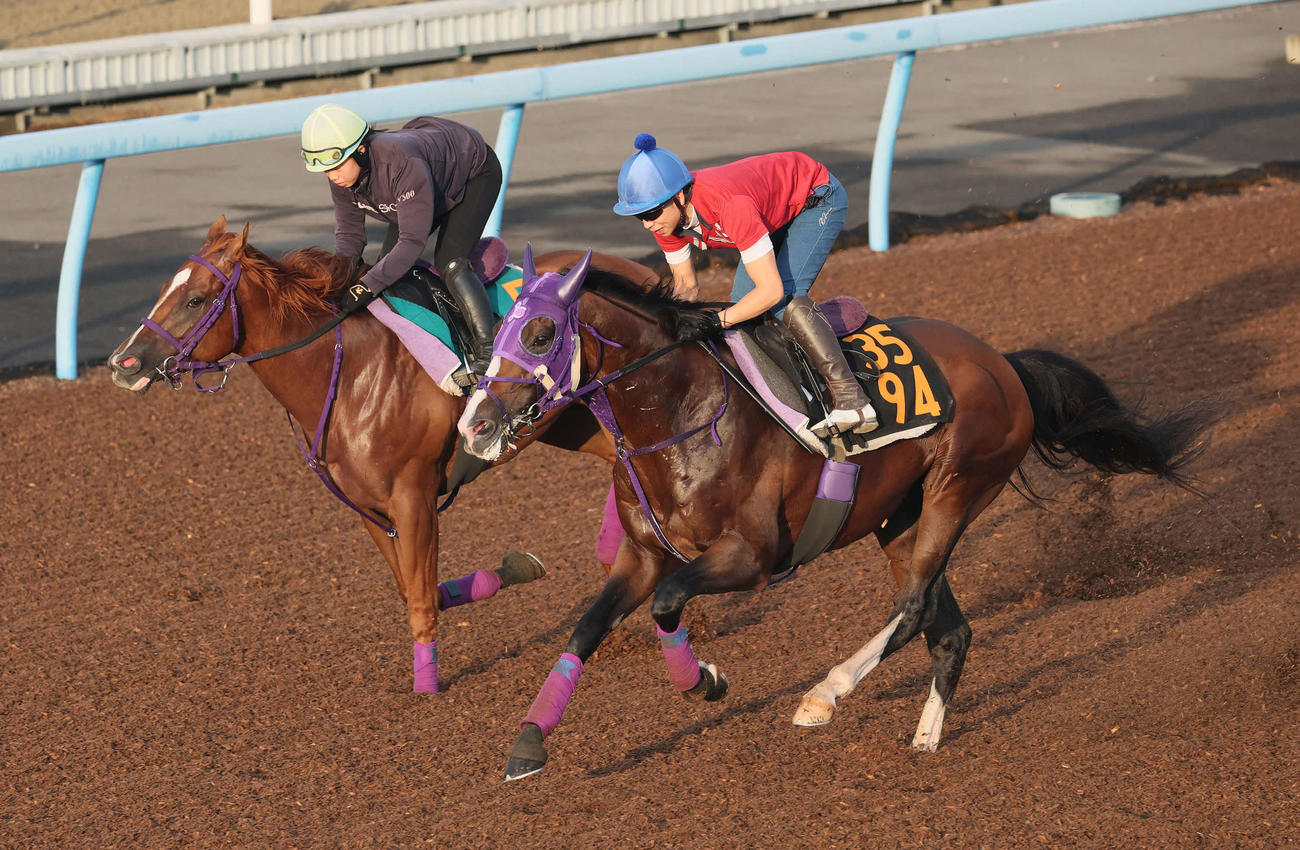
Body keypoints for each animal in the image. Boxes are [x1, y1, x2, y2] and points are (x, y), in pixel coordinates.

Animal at [106, 216, 647, 693]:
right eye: (164, 288)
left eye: (196, 299)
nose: (121, 363)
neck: (350, 376)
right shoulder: (370, 507)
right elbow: (418, 589)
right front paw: (516, 568)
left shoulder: (414, 497)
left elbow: (422, 599)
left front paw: (426, 688)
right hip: (580, 426)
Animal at [456, 247, 1211, 781]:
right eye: (497, 332)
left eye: (542, 332)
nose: (475, 422)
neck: (681, 416)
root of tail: (1004, 363)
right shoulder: (641, 554)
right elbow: (587, 626)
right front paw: (528, 744)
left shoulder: (752, 557)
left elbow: (669, 604)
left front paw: (704, 681)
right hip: (899, 519)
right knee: (949, 627)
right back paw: (926, 736)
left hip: (959, 486)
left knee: (913, 607)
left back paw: (825, 694)